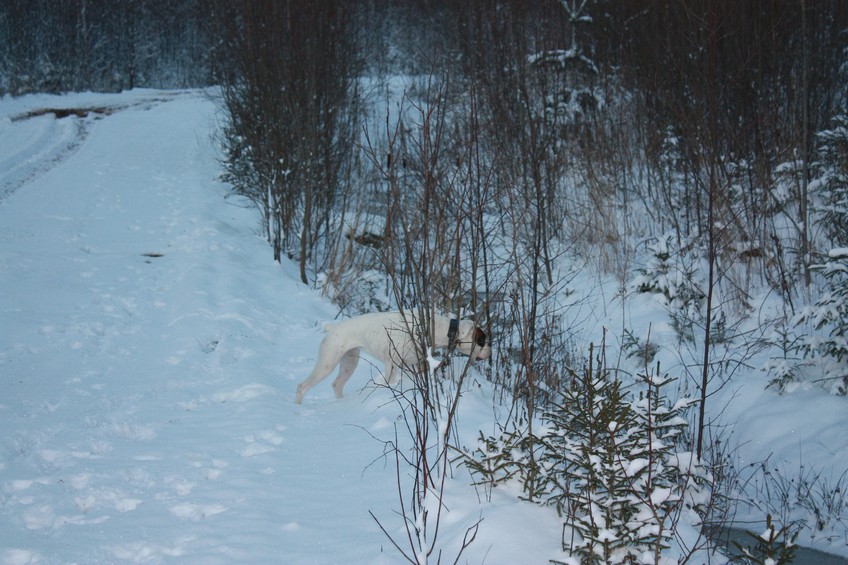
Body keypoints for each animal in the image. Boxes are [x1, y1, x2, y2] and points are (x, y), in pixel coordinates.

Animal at [294, 310, 490, 404]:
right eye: (482, 340)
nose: (490, 351)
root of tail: (333, 328)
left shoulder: (418, 365)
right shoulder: (392, 364)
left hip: (349, 362)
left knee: (337, 384)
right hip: (327, 363)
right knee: (302, 386)